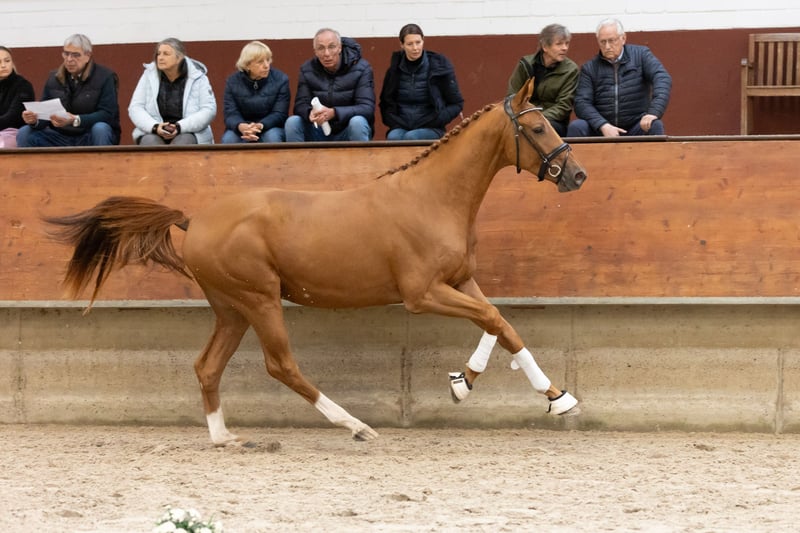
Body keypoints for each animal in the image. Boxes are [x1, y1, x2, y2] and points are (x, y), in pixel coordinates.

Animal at [43, 79, 587, 446]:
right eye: (537, 126)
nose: (576, 174)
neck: (433, 198)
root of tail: (194, 220)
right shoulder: (423, 293)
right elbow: (493, 318)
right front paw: (533, 395)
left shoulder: (460, 280)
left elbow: (501, 324)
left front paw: (509, 389)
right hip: (260, 300)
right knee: (281, 365)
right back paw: (356, 426)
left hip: (232, 309)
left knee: (207, 366)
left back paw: (224, 438)